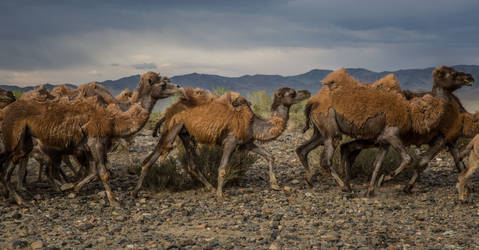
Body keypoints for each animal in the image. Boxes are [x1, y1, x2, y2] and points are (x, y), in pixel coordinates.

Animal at [0, 72, 182, 205]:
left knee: (13, 164)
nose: (179, 87)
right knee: (12, 166)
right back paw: (22, 198)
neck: (113, 118)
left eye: (167, 80)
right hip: (16, 138)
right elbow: (102, 172)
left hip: (24, 140)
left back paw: (18, 195)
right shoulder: (96, 141)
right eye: (163, 83)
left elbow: (93, 171)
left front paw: (74, 190)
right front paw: (114, 201)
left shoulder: (91, 145)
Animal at [133, 88, 312, 199]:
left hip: (186, 134)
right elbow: (222, 167)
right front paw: (221, 195)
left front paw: (275, 185)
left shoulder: (247, 143)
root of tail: (168, 112)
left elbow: (270, 156)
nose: (307, 92)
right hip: (174, 128)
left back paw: (210, 187)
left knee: (192, 165)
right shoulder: (230, 142)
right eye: (292, 93)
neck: (254, 124)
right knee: (152, 157)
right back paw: (135, 191)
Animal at [296, 66, 472, 195]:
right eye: (451, 73)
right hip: (330, 126)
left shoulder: (384, 140)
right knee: (326, 159)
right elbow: (409, 159)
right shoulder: (392, 134)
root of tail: (312, 102)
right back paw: (345, 188)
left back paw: (311, 180)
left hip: (320, 132)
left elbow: (377, 164)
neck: (413, 111)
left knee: (303, 149)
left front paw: (371, 190)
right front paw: (386, 180)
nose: (469, 77)